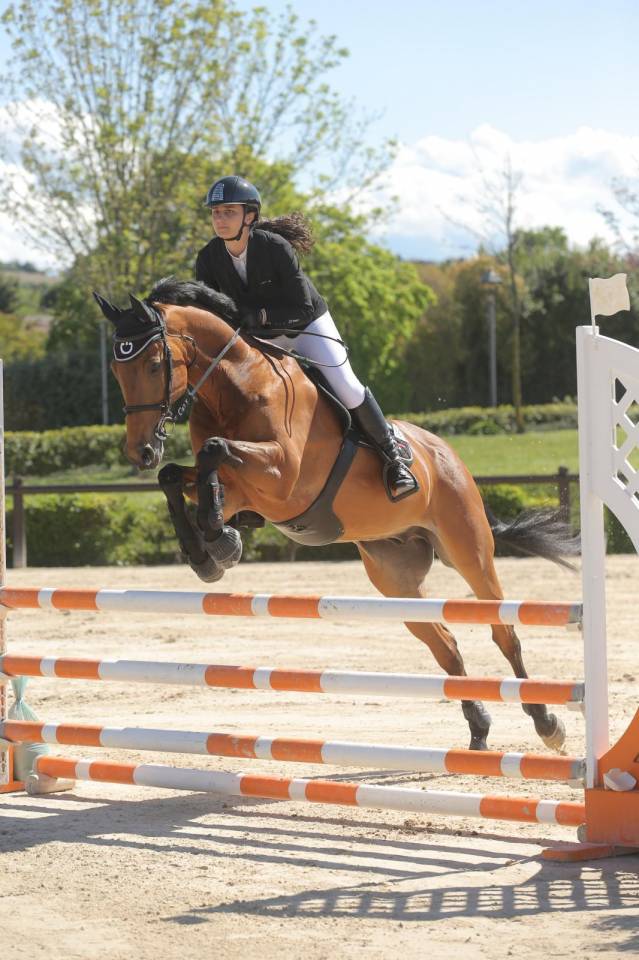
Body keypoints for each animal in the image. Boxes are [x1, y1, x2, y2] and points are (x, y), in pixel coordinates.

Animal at [95, 278, 579, 754]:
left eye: (153, 365)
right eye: (116, 371)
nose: (140, 452)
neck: (235, 384)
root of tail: (447, 454)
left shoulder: (282, 476)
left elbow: (215, 451)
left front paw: (219, 542)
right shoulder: (244, 489)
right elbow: (177, 477)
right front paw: (208, 551)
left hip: (469, 549)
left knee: (503, 631)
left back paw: (547, 723)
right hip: (395, 577)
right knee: (444, 643)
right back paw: (478, 727)